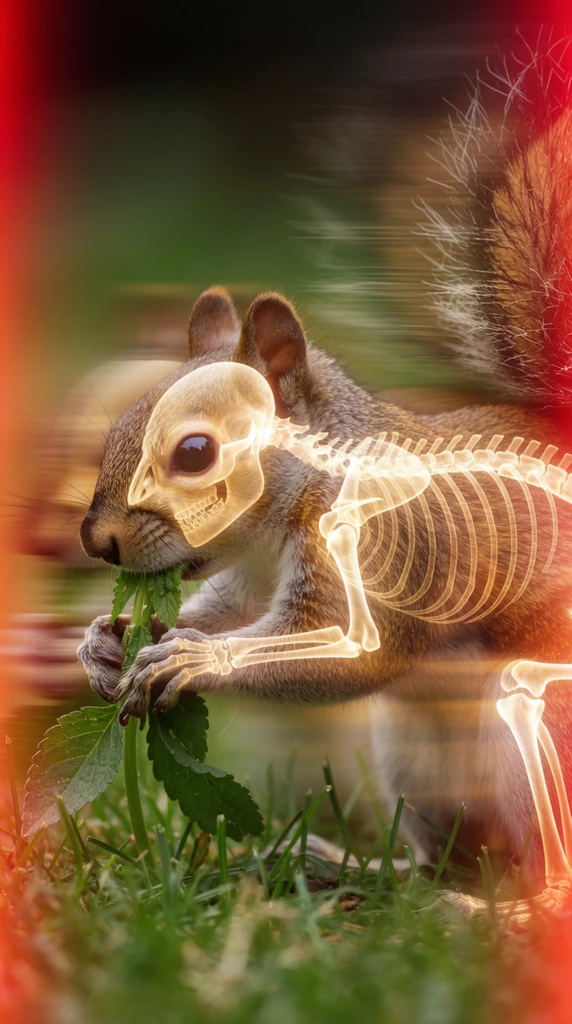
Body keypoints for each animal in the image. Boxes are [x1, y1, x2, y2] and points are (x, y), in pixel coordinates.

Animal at [78, 51, 572, 875]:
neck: (300, 501)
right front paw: (102, 643)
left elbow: (346, 657)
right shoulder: (250, 575)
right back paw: (355, 866)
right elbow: (226, 611)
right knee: (449, 862)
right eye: (117, 426)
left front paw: (199, 663)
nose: (98, 543)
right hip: (421, 759)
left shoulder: (385, 550)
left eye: (195, 451)